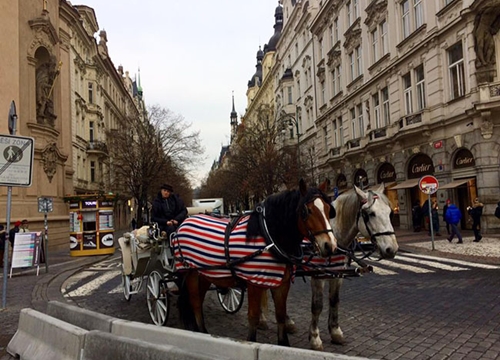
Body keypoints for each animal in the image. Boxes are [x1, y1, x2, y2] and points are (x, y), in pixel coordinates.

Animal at [173, 180, 336, 346]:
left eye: (329, 209)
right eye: (306, 211)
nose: (330, 245)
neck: (269, 238)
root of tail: (184, 222)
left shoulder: (282, 283)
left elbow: (280, 314)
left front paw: (284, 342)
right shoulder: (254, 282)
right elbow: (253, 316)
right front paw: (252, 340)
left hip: (206, 274)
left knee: (197, 299)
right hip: (190, 273)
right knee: (195, 302)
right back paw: (201, 332)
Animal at [308, 184, 398, 350]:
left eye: (390, 212)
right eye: (370, 214)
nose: (392, 249)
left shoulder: (338, 275)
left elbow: (334, 301)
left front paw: (335, 332)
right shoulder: (317, 276)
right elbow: (317, 306)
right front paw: (315, 338)